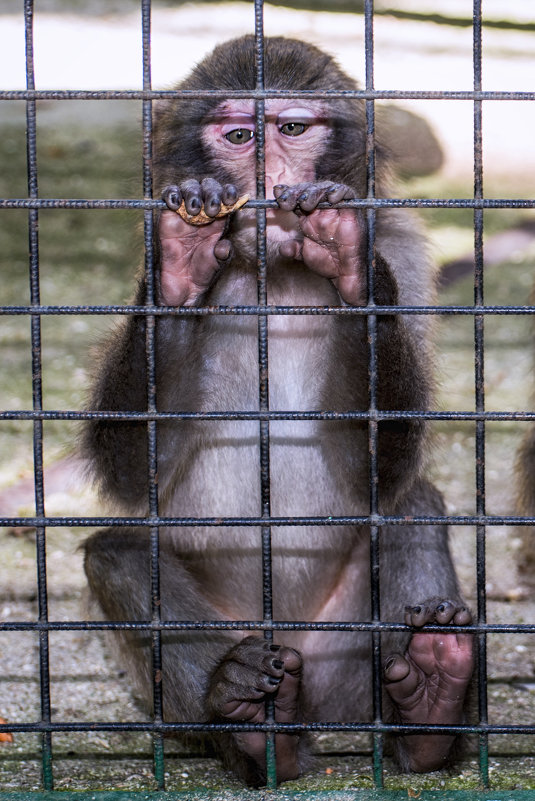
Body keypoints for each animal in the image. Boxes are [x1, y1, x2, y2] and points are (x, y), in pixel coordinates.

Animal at [81, 36, 476, 780]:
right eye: (238, 136)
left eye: (291, 128)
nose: (267, 169)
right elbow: (135, 473)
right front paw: (181, 264)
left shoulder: (403, 249)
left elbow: (381, 470)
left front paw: (347, 259)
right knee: (119, 553)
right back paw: (250, 724)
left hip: (347, 661)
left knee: (411, 507)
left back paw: (426, 708)